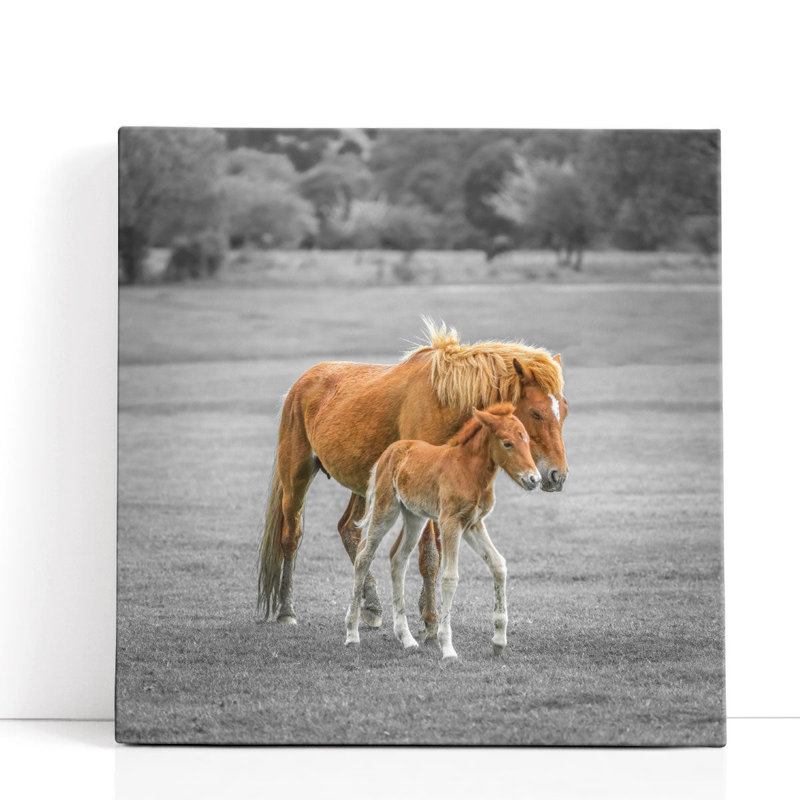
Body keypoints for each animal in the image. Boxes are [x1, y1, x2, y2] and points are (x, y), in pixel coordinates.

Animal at [345, 403, 540, 659]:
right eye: (507, 443)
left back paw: (406, 638)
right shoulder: (450, 522)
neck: (469, 469)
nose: (534, 479)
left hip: (414, 517)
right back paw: (352, 635)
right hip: (385, 509)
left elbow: (498, 565)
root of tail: (390, 451)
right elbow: (449, 578)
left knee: (398, 558)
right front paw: (447, 648)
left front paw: (498, 640)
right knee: (364, 556)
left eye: (526, 439)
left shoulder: (473, 524)